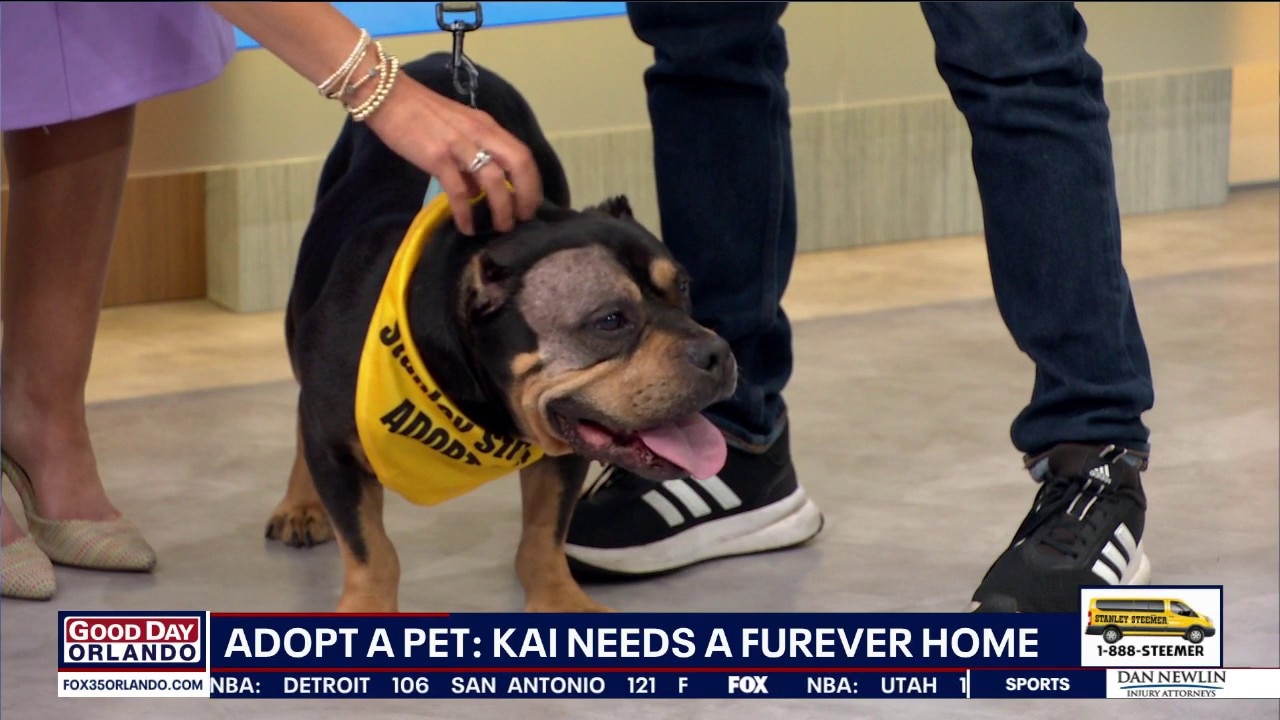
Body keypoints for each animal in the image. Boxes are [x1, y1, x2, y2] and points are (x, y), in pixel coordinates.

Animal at [263, 53, 738, 613]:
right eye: (610, 321)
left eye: (682, 288)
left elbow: (543, 534)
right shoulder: (336, 449)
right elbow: (371, 550)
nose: (717, 352)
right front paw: (367, 609)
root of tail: (440, 59)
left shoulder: (564, 444)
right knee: (301, 420)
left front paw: (559, 599)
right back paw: (300, 504)